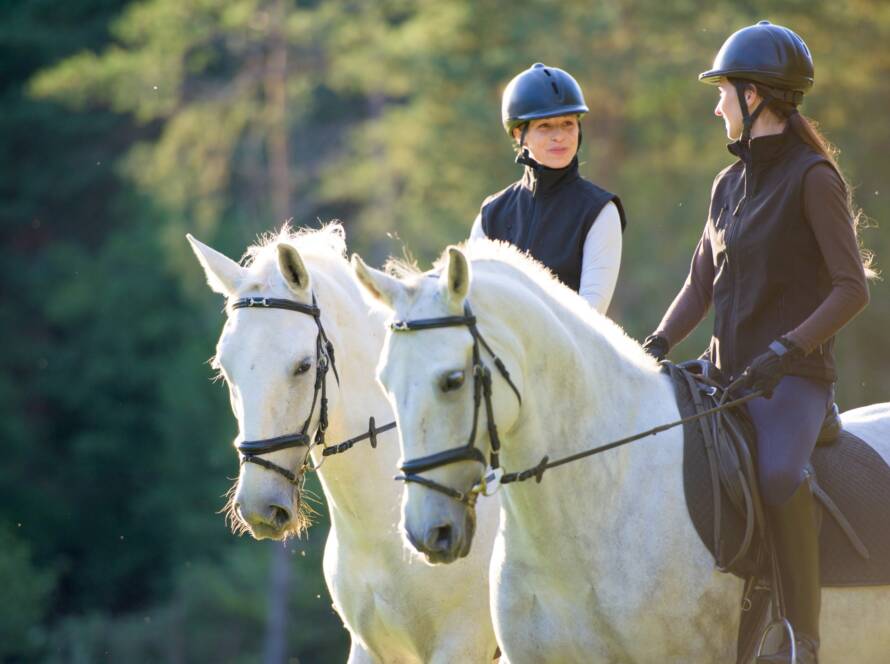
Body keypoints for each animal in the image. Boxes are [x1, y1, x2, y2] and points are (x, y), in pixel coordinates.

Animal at [188, 226, 500, 660]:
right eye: (224, 368)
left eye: (303, 366)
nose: (258, 507)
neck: (380, 531)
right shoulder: (368, 647)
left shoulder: (460, 646)